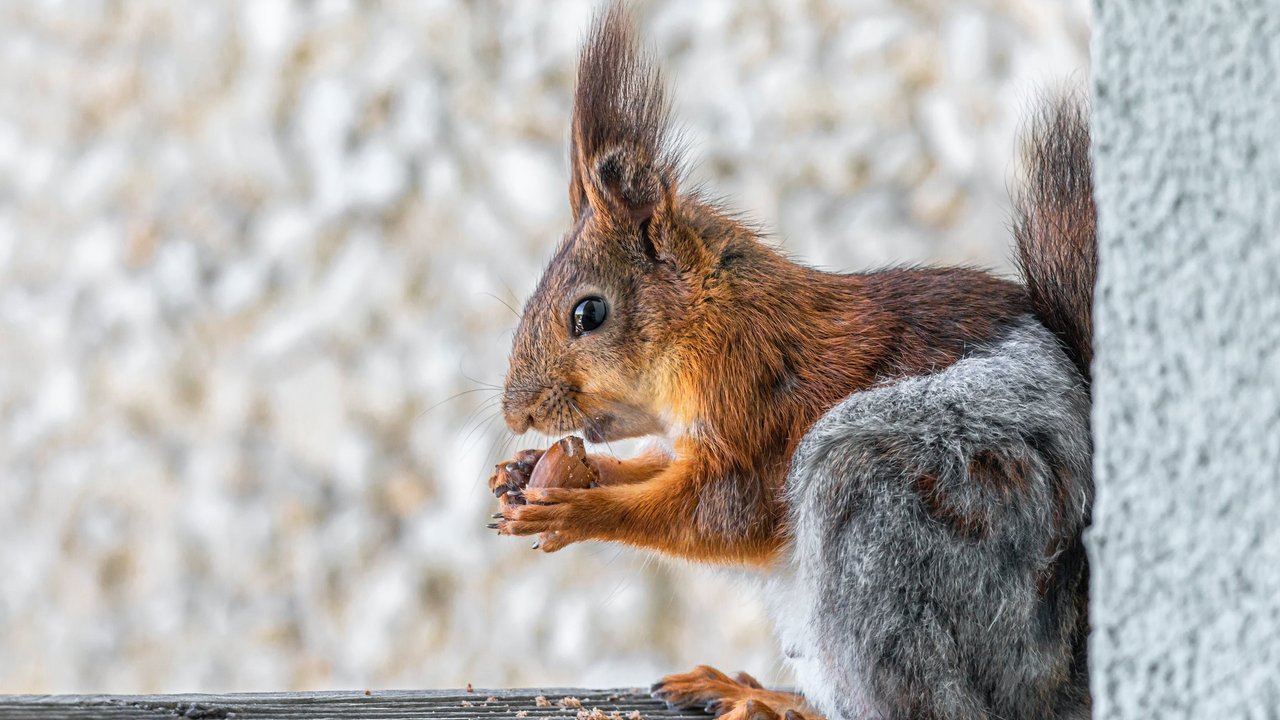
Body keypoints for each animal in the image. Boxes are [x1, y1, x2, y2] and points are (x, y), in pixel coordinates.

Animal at [487, 4, 1096, 720]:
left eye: (588, 313)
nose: (517, 413)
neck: (714, 317)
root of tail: (1053, 680)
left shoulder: (755, 407)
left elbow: (720, 516)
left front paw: (572, 512)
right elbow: (655, 469)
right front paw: (534, 472)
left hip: (883, 507)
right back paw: (752, 691)